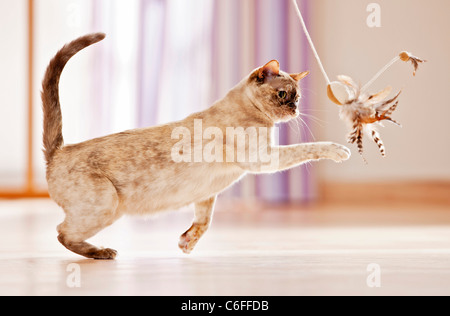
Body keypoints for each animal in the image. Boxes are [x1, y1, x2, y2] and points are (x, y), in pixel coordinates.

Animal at [42, 32, 350, 260]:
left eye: (298, 99)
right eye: (284, 95)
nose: (294, 110)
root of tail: (58, 152)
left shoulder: (207, 191)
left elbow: (204, 220)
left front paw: (186, 243)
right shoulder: (263, 160)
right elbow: (310, 147)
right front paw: (340, 151)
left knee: (61, 232)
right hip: (106, 205)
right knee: (61, 232)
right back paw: (103, 252)